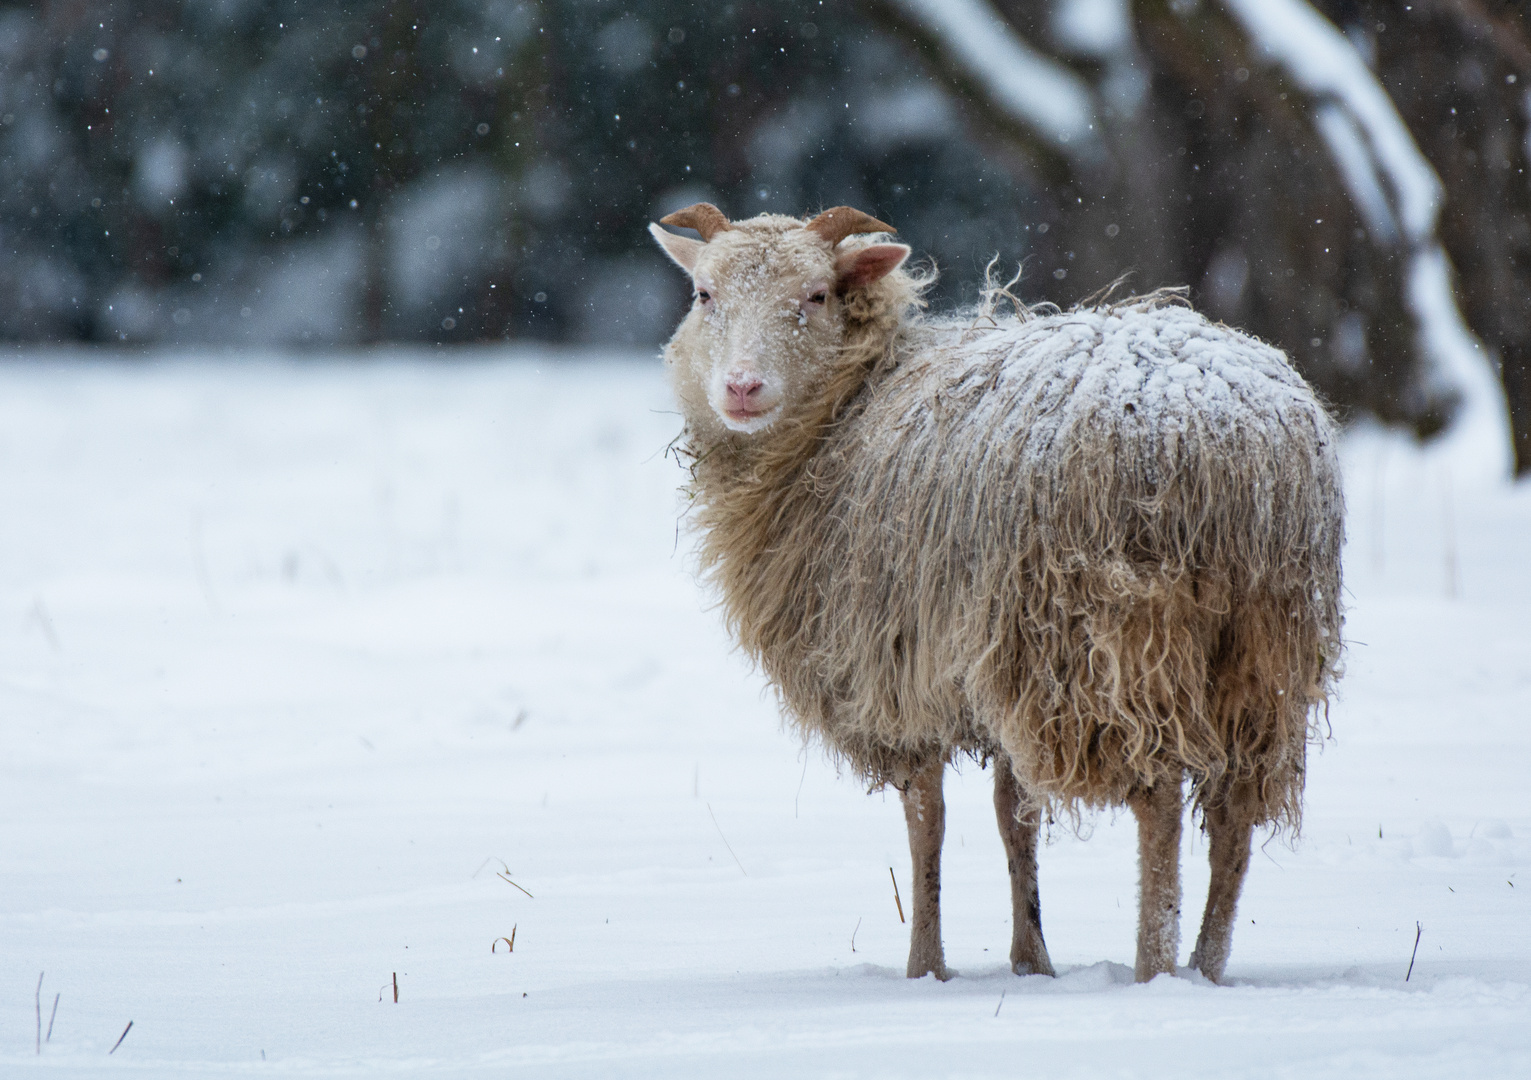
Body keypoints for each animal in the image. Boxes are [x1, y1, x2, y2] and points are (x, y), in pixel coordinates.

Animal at [646, 202, 1341, 986]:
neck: (846, 411)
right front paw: (1030, 961)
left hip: (1111, 639)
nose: (741, 388)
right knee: (1234, 817)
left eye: (816, 295)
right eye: (704, 294)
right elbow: (1016, 814)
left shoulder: (900, 671)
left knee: (1160, 797)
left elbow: (927, 822)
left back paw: (1154, 968)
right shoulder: (992, 659)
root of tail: (1222, 448)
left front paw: (926, 967)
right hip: (1263, 648)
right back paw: (1205, 967)